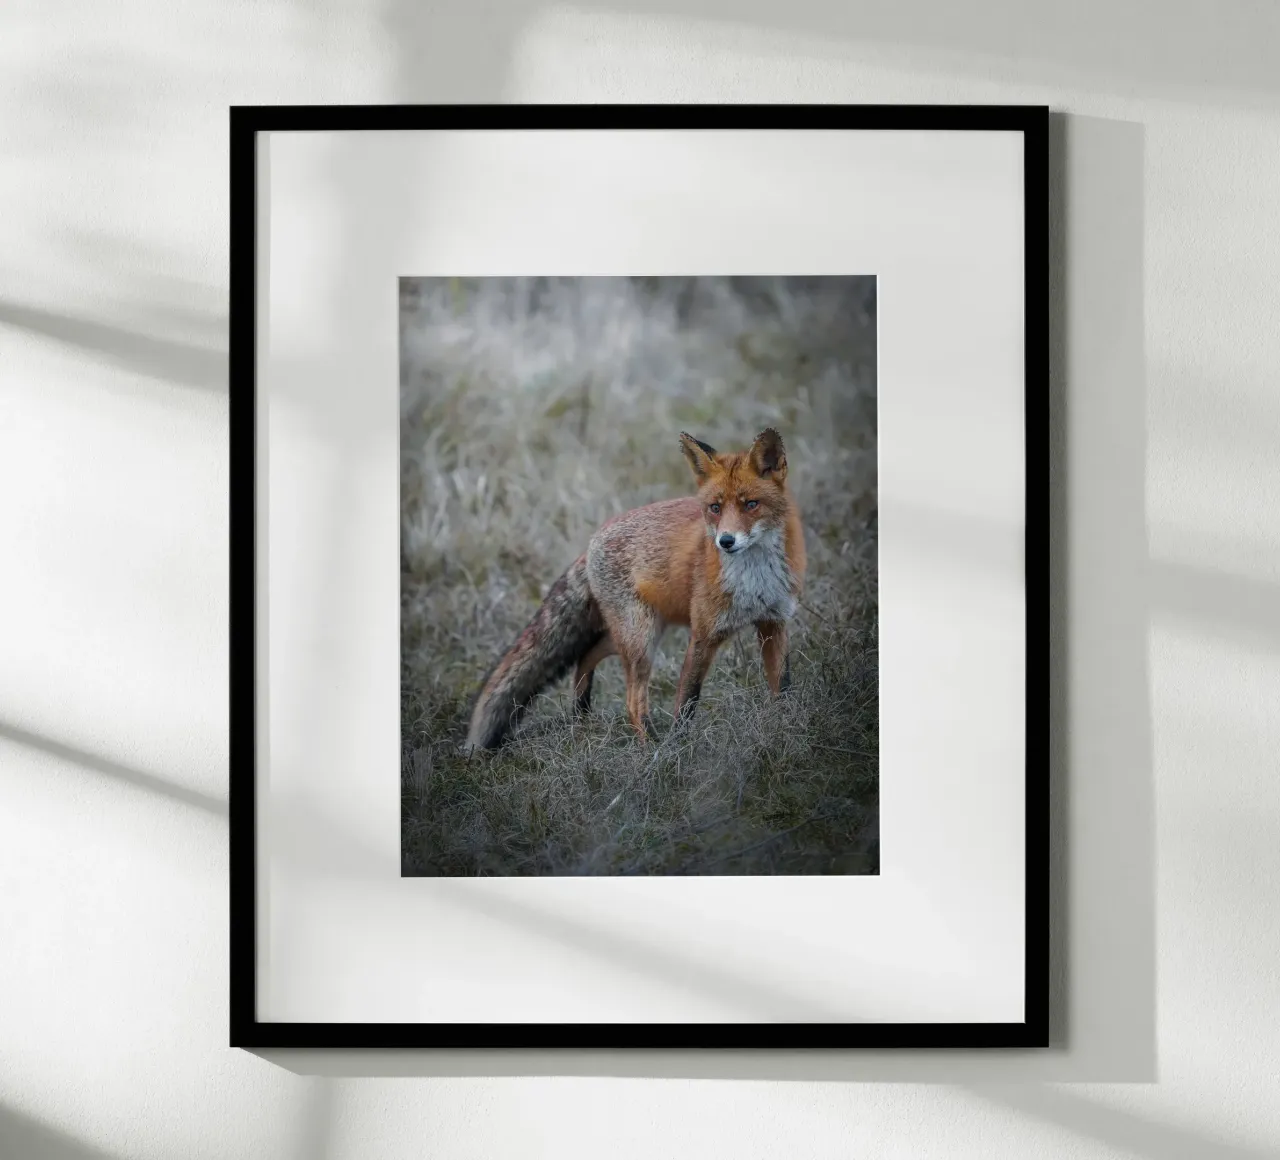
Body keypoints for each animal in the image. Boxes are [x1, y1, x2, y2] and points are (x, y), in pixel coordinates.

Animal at [463, 427, 806, 751]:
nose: (726, 541)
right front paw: (677, 751)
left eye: (751, 505)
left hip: (638, 634)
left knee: (586, 655)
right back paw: (649, 747)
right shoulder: (704, 633)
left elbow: (783, 687)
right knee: (632, 701)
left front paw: (784, 731)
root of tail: (591, 542)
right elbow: (686, 703)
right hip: (641, 639)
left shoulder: (774, 622)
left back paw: (582, 713)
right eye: (715, 508)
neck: (754, 579)